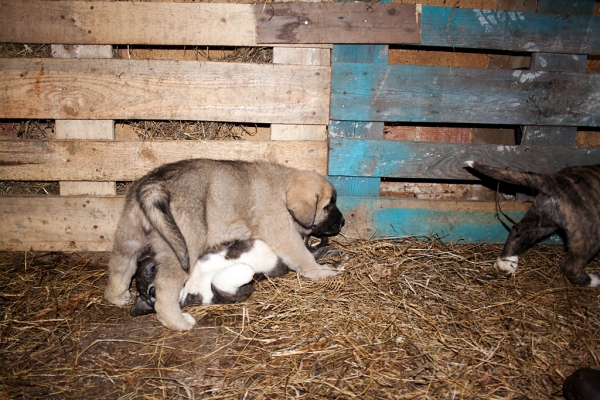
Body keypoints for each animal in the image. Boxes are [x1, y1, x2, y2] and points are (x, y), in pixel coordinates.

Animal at [105, 159, 344, 332]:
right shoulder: (282, 232)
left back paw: (117, 295)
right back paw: (177, 322)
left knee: (120, 263)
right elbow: (302, 255)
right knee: (164, 287)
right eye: (328, 205)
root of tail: (153, 185)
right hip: (182, 245)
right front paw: (321, 271)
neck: (282, 189)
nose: (342, 222)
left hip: (130, 233)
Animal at [466, 160, 600, 288]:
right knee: (570, 264)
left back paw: (506, 264)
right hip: (589, 232)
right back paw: (592, 281)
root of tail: (557, 180)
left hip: (541, 218)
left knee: (518, 234)